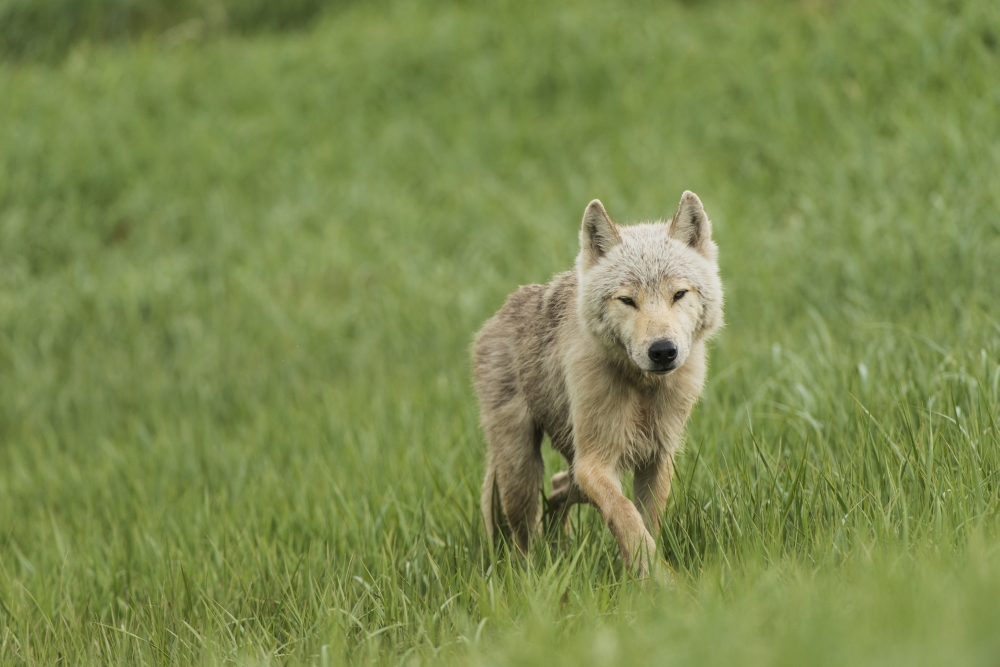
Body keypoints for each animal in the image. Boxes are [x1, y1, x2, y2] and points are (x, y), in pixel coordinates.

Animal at [472, 191, 724, 577]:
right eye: (628, 300)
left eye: (679, 294)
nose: (662, 351)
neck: (642, 389)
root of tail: (498, 314)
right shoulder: (595, 463)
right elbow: (626, 516)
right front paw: (658, 578)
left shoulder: (657, 458)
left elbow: (645, 521)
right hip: (521, 473)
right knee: (524, 541)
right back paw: (532, 578)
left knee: (559, 488)